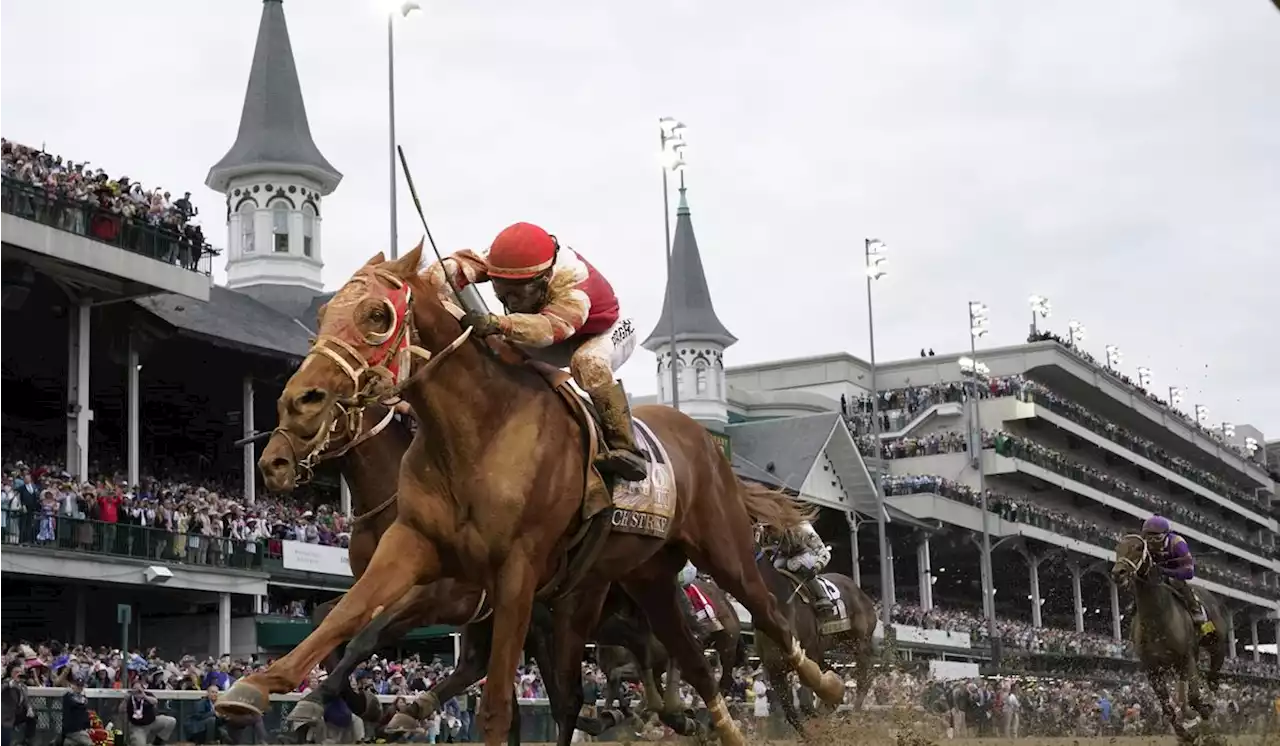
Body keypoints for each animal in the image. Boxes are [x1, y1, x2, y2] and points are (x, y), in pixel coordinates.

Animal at [216, 249, 844, 746]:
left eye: (378, 315)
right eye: (324, 316)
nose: (292, 414)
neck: (476, 436)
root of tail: (705, 441)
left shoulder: (502, 578)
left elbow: (490, 699)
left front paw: (372, 706)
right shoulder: (417, 549)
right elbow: (343, 618)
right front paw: (267, 689)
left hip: (720, 550)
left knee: (766, 622)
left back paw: (827, 685)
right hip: (644, 580)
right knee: (686, 665)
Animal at [1105, 537, 1223, 742]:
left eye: (1138, 547)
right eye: (1117, 547)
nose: (1118, 573)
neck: (1157, 617)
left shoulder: (1187, 657)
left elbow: (1194, 696)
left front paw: (1203, 712)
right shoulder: (1152, 668)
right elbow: (1167, 707)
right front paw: (1185, 733)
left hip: (1216, 647)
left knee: (1212, 680)